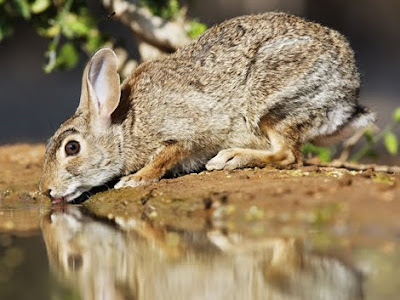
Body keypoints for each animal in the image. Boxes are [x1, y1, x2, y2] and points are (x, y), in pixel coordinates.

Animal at [39, 12, 374, 203]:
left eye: (72, 148)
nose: (47, 191)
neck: (125, 127)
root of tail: (347, 95)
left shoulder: (184, 132)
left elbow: (165, 156)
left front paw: (133, 179)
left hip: (273, 100)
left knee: (288, 154)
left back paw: (231, 158)